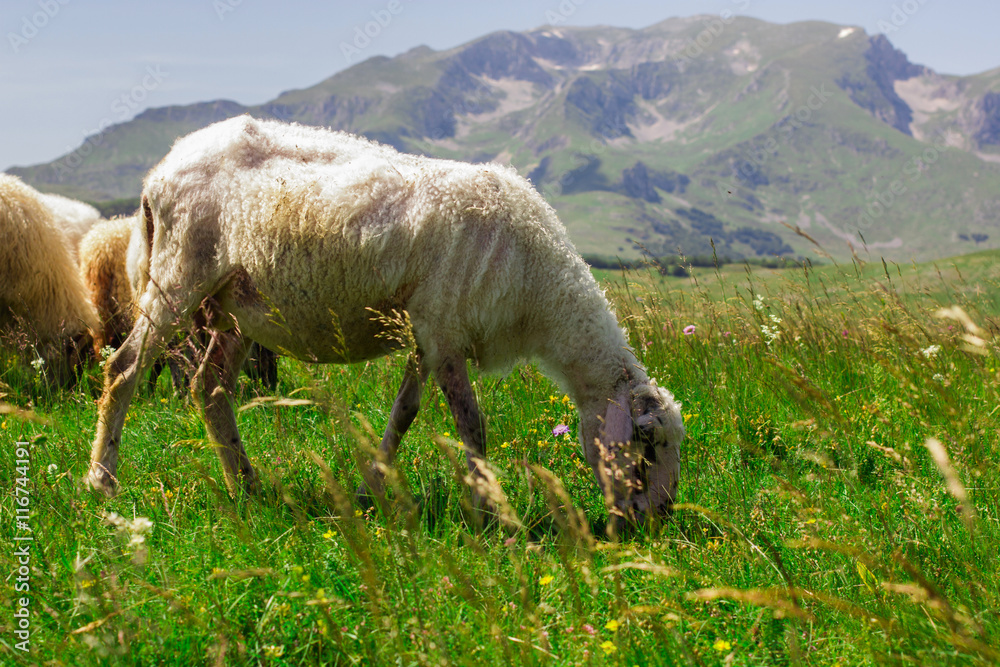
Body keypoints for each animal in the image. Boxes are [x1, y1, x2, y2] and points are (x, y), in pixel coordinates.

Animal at [86, 115, 683, 524]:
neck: (540, 292)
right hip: (179, 273)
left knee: (208, 388)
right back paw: (102, 484)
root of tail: (161, 168)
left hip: (234, 304)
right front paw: (489, 512)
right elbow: (472, 424)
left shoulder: (425, 333)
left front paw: (371, 488)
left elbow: (405, 413)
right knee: (124, 370)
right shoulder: (444, 329)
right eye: (648, 443)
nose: (654, 522)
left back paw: (248, 488)